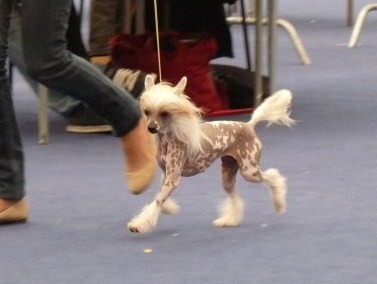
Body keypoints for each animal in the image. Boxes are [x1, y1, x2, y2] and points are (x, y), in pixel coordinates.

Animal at [126, 75, 294, 233]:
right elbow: (159, 195)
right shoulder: (168, 174)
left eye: (165, 113)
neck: (167, 139)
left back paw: (279, 202)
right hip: (228, 173)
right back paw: (229, 220)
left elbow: (157, 200)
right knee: (235, 197)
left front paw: (139, 224)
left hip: (249, 171)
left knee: (272, 177)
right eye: (147, 112)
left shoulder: (172, 179)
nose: (151, 128)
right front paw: (168, 208)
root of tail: (248, 125)